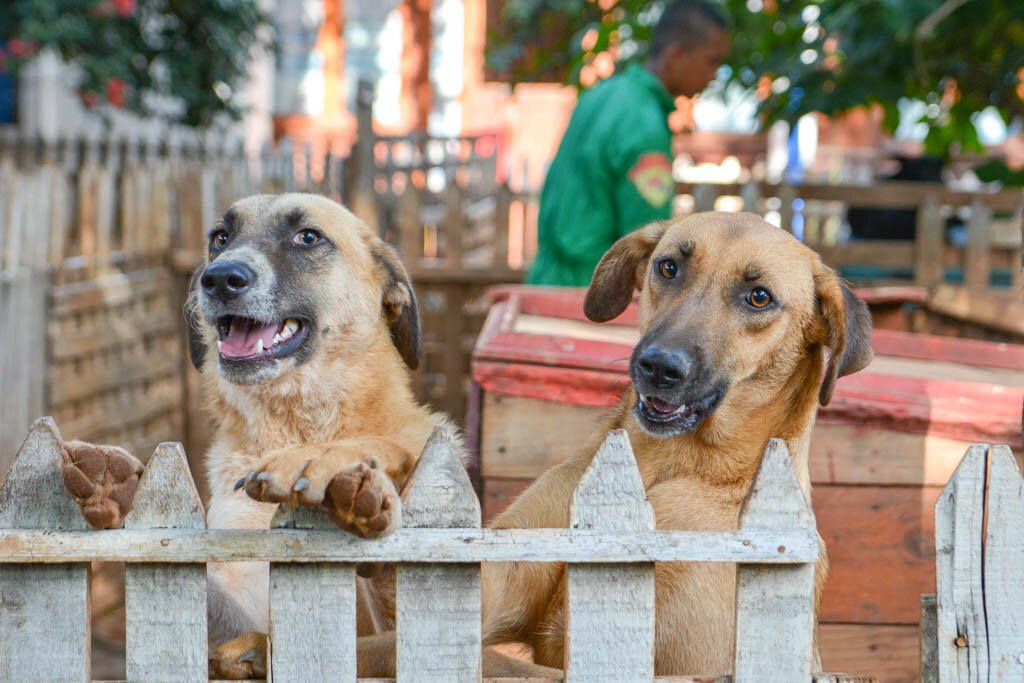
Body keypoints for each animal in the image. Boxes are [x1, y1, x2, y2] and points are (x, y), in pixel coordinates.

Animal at [58, 192, 454, 679]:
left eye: (308, 237)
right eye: (220, 237)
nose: (219, 279)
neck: (294, 425)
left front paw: (333, 464)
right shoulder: (239, 600)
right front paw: (116, 487)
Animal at [354, 211, 872, 679]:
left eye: (759, 297)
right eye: (668, 267)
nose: (659, 366)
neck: (664, 465)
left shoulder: (687, 663)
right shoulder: (493, 586)